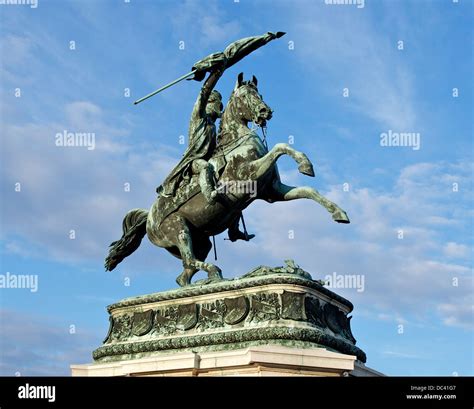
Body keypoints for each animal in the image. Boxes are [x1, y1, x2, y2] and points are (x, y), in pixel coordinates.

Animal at [105, 71, 350, 286]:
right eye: (244, 96)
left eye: (259, 93)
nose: (265, 111)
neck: (238, 140)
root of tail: (148, 218)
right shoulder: (248, 175)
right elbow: (280, 147)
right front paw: (305, 163)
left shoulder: (273, 191)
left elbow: (309, 191)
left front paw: (338, 212)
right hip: (179, 230)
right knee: (189, 261)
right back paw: (215, 272)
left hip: (200, 241)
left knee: (185, 274)